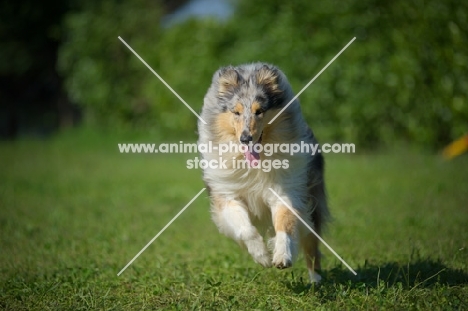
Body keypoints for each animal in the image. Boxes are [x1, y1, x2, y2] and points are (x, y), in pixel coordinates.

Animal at [197, 62, 330, 284]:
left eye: (259, 111)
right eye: (236, 112)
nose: (246, 138)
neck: (255, 164)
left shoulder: (286, 190)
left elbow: (285, 224)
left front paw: (282, 256)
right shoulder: (227, 195)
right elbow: (246, 229)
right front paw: (263, 257)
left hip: (313, 201)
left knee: (311, 246)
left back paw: (315, 280)